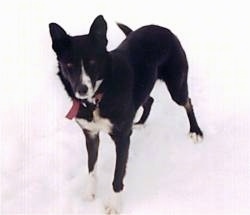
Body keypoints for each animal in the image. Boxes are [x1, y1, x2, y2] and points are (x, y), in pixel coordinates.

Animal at [48, 14, 203, 213]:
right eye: (68, 64)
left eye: (92, 62)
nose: (81, 90)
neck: (98, 98)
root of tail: (160, 27)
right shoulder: (90, 134)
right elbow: (91, 168)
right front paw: (90, 194)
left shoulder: (122, 138)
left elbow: (118, 175)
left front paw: (114, 205)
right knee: (149, 100)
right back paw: (140, 122)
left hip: (177, 85)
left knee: (187, 102)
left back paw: (195, 131)